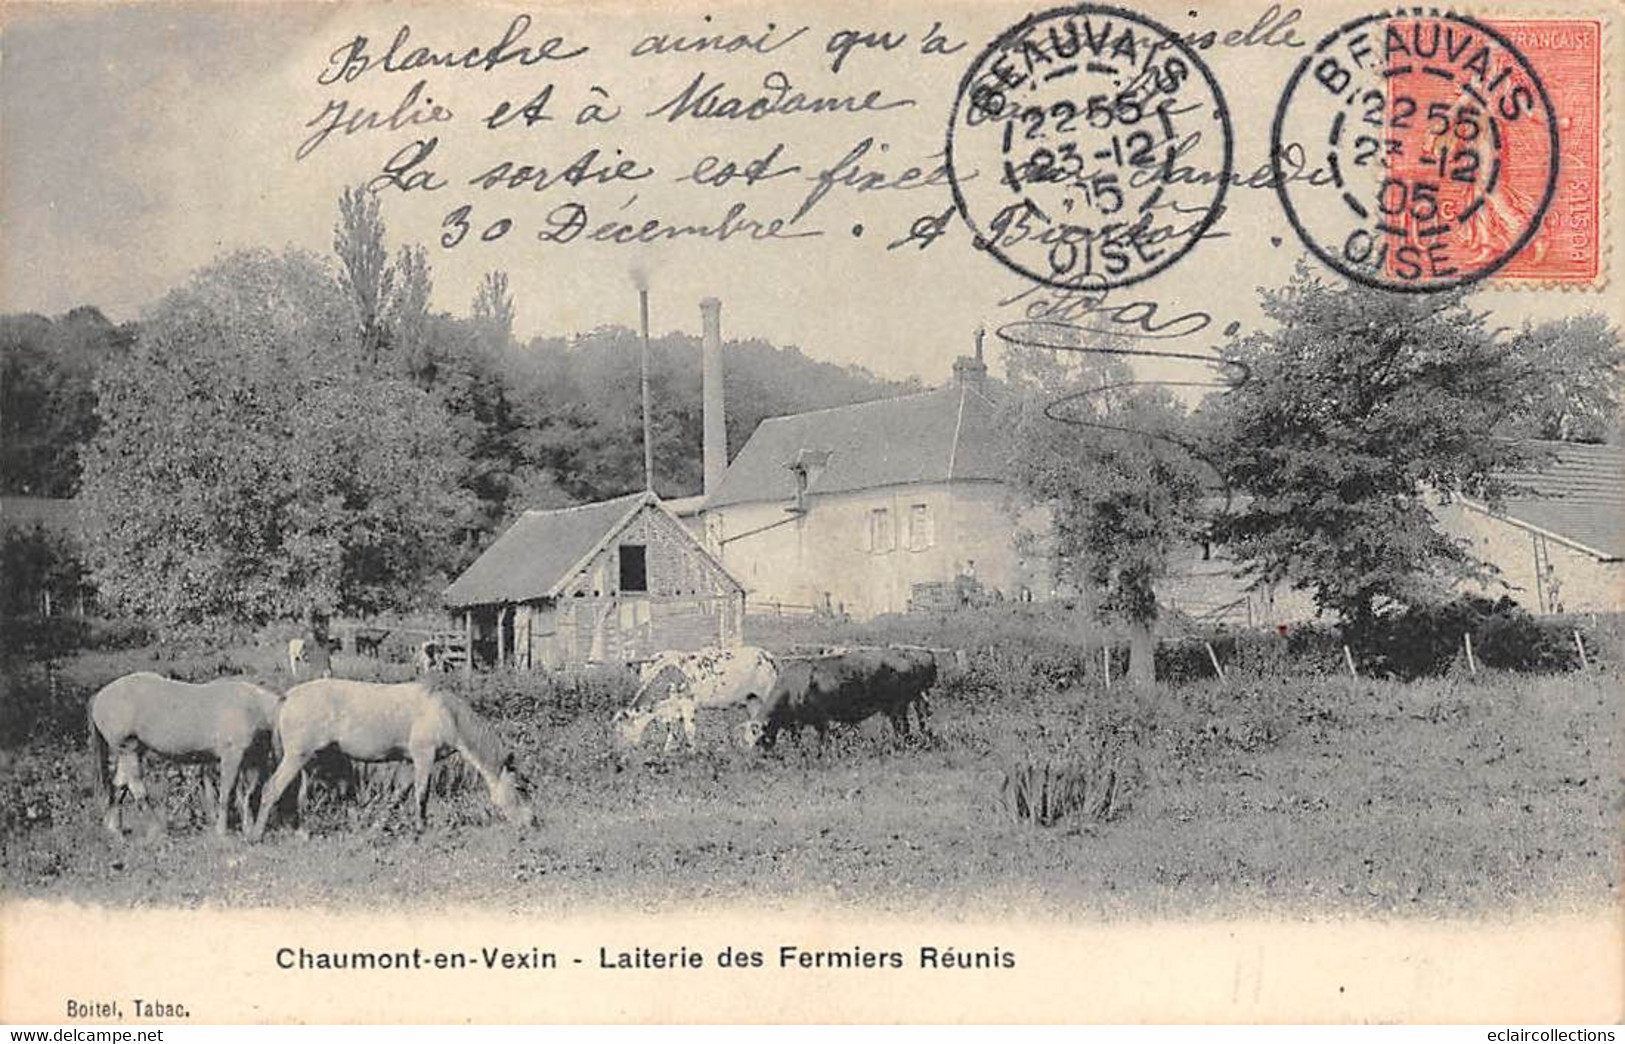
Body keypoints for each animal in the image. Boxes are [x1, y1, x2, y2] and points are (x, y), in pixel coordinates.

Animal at [88, 676, 282, 839]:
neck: (253, 707)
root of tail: (100, 696)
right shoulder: (232, 757)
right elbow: (228, 793)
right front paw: (222, 831)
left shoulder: (251, 760)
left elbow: (248, 793)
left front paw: (248, 828)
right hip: (129, 750)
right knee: (136, 787)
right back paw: (156, 830)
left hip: (128, 752)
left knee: (119, 785)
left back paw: (115, 828)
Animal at [248, 676, 533, 839]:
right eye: (520, 788)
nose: (531, 823)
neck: (447, 713)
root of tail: (287, 697)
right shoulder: (423, 757)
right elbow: (421, 794)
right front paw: (421, 830)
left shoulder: (408, 761)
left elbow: (399, 795)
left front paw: (379, 826)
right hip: (297, 757)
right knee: (272, 789)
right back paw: (255, 836)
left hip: (305, 761)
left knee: (293, 796)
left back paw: (300, 832)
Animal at [614, 643, 780, 748]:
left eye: (621, 730)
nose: (618, 752)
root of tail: (768, 656)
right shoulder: (674, 710)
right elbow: (672, 734)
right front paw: (666, 754)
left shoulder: (688, 705)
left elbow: (689, 732)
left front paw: (692, 754)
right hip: (752, 701)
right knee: (755, 725)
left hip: (766, 696)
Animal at [741, 643, 936, 748]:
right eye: (746, 741)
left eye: (758, 740)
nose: (756, 760)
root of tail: (915, 653)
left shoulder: (819, 719)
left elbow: (820, 739)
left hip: (897, 705)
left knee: (903, 728)